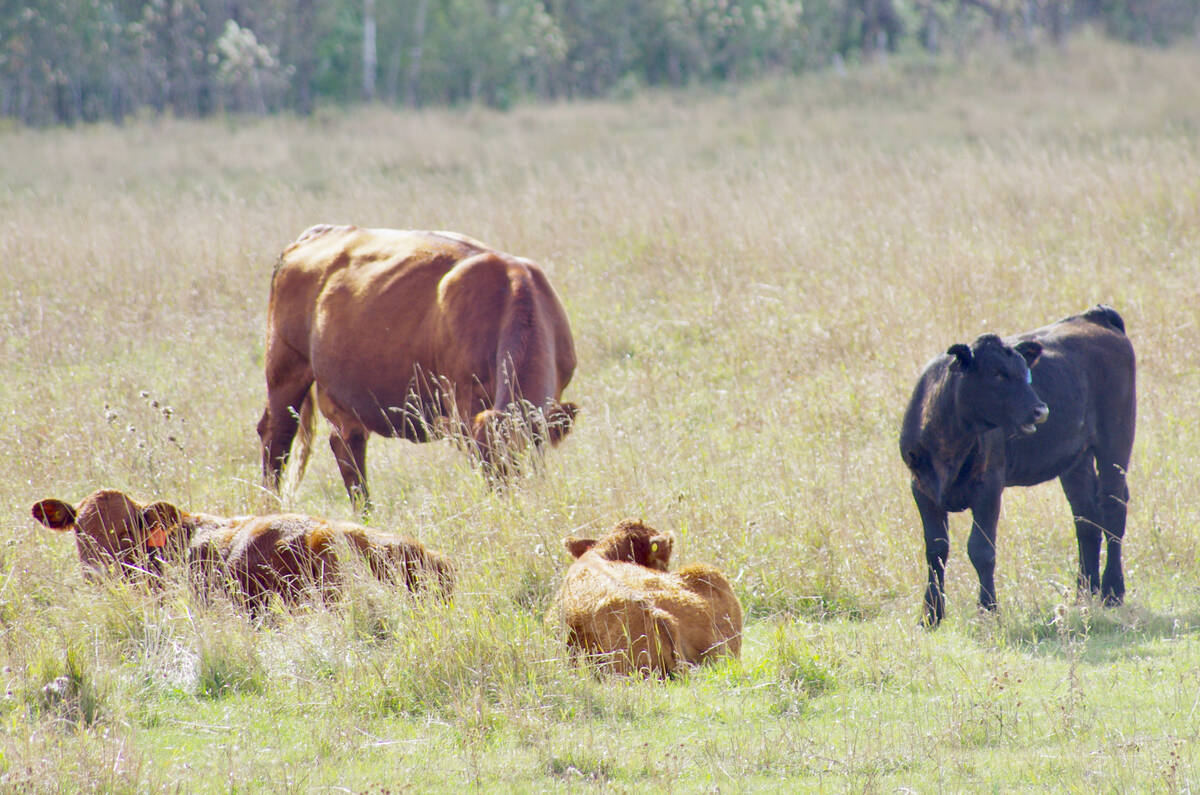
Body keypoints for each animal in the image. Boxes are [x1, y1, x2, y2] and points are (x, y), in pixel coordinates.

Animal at [257, 225, 578, 512]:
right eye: (482, 463)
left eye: (528, 456)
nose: (509, 500)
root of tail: (316, 234)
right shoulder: (462, 402)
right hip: (285, 364)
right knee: (277, 436)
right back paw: (271, 508)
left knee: (347, 444)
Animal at [899, 305, 1136, 626]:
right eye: (996, 374)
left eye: (1026, 373)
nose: (1040, 410)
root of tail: (1093, 317)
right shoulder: (921, 487)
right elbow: (936, 548)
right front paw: (931, 614)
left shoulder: (989, 485)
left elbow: (981, 549)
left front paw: (988, 610)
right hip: (1076, 459)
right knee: (1086, 517)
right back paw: (1084, 595)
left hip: (1116, 442)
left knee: (1113, 510)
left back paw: (1112, 592)